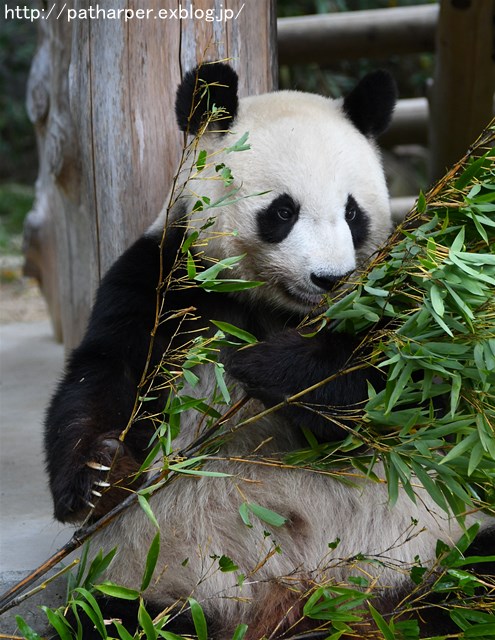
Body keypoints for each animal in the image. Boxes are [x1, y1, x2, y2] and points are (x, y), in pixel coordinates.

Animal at [44, 61, 494, 640]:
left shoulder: (399, 297)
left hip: (433, 547)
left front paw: (267, 367)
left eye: (353, 214)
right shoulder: (168, 280)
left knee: (475, 573)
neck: (280, 308)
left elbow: (415, 384)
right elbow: (108, 371)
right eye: (282, 211)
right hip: (160, 585)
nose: (330, 279)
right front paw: (97, 476)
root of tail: (305, 603)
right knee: (106, 618)